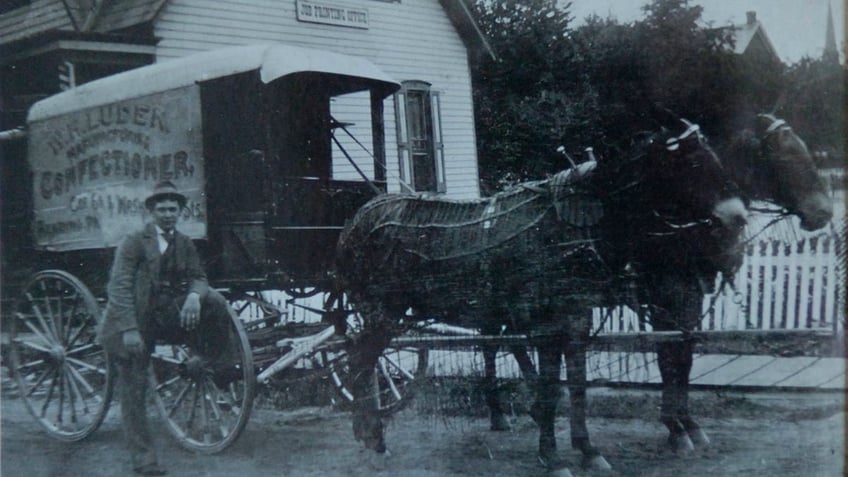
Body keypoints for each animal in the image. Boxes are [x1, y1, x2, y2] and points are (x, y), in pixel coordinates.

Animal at [334, 118, 744, 472]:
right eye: (692, 163)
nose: (737, 220)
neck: (570, 229)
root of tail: (358, 220)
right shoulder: (553, 323)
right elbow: (554, 388)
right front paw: (554, 457)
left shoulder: (579, 319)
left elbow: (580, 386)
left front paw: (588, 450)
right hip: (382, 311)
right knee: (360, 361)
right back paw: (374, 438)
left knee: (368, 360)